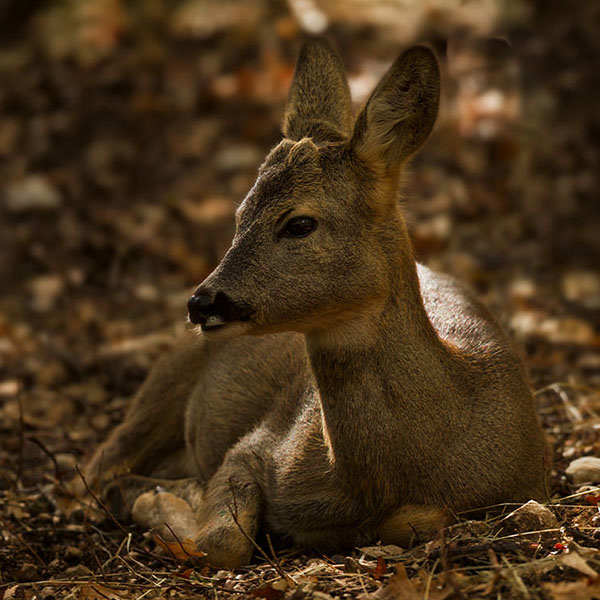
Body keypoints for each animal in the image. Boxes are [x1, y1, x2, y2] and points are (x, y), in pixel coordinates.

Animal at [77, 38, 552, 568]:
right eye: (239, 215)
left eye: (300, 223)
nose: (202, 303)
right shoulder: (256, 445)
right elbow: (223, 540)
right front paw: (173, 501)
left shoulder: (524, 484)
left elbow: (420, 519)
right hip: (163, 384)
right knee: (96, 471)